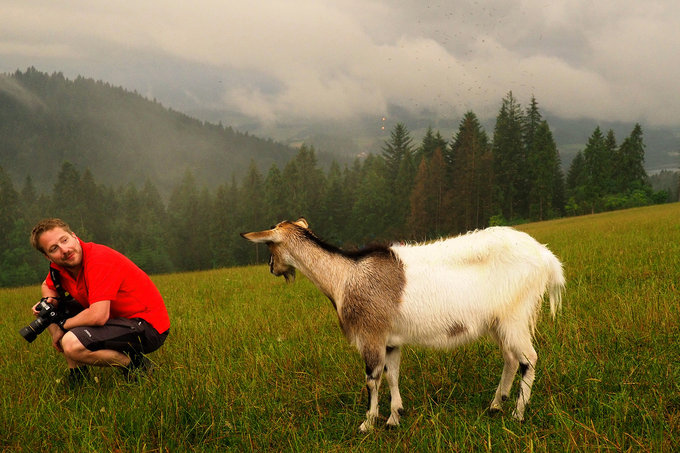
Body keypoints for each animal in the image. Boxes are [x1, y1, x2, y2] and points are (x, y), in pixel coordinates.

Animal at [242, 219, 564, 430]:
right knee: (510, 358)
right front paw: (394, 417)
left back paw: (518, 414)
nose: (271, 268)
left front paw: (367, 424)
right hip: (499, 322)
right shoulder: (391, 340)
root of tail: (547, 259)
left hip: (515, 315)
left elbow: (373, 379)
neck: (344, 276)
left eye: (269, 244)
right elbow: (392, 375)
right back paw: (496, 405)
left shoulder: (370, 335)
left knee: (528, 359)